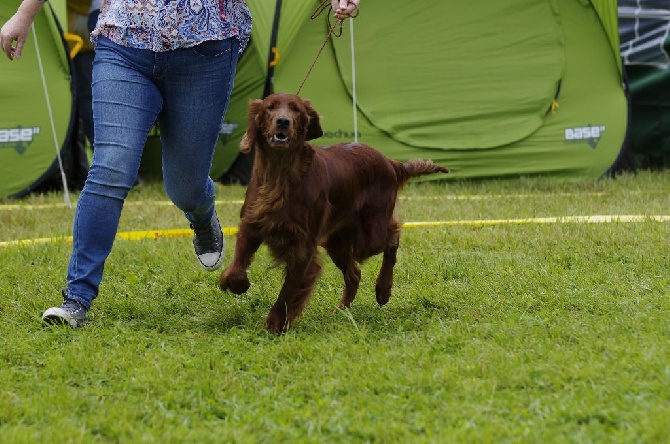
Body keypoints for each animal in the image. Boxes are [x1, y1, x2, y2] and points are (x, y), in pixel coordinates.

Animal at [220, 93, 452, 332]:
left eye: (296, 109)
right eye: (270, 107)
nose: (283, 121)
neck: (280, 173)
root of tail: (390, 162)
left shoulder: (303, 246)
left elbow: (287, 293)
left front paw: (274, 325)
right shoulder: (252, 226)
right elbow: (237, 269)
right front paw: (236, 284)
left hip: (368, 238)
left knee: (393, 236)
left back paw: (383, 290)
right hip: (336, 241)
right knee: (355, 274)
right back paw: (341, 311)